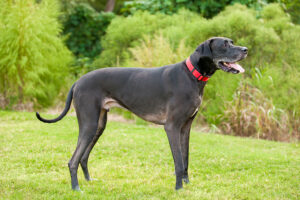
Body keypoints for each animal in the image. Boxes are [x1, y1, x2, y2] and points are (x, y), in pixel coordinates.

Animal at [37, 37, 248, 191]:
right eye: (225, 44)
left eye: (232, 41)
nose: (245, 49)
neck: (192, 75)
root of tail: (78, 81)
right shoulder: (171, 127)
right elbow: (179, 162)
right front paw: (178, 189)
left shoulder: (186, 127)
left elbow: (186, 158)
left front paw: (187, 186)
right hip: (89, 124)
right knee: (73, 160)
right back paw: (76, 188)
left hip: (99, 125)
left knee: (83, 157)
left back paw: (88, 181)